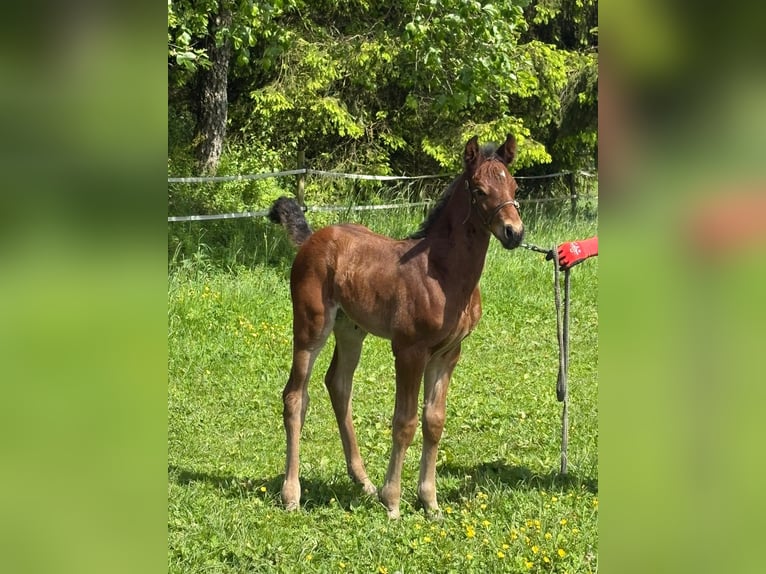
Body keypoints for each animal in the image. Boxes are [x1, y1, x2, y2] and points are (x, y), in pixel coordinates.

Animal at [268, 134, 524, 519]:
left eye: (515, 186)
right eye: (479, 190)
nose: (514, 233)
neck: (444, 272)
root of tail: (312, 239)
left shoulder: (449, 353)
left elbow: (434, 420)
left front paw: (430, 502)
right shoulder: (409, 350)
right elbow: (405, 422)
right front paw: (393, 501)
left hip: (351, 328)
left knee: (339, 385)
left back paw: (363, 482)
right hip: (312, 326)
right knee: (296, 396)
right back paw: (292, 494)